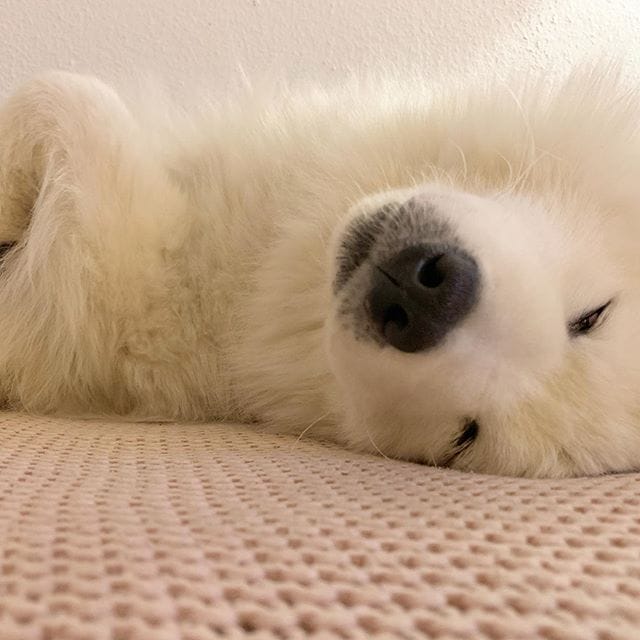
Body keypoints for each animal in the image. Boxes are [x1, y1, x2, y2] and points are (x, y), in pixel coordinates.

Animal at [0, 68, 638, 477]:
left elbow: (69, 101)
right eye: (591, 315)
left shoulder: (120, 283)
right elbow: (63, 94)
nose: (423, 302)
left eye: (464, 437)